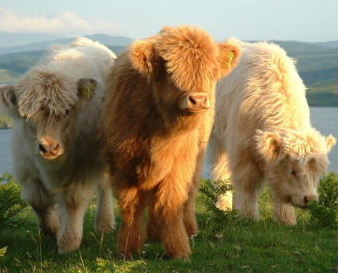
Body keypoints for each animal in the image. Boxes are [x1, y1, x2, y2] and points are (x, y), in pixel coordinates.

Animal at [0, 37, 116, 252]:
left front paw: (68, 242)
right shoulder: (27, 168)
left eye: (67, 111)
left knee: (104, 186)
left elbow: (72, 201)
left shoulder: (82, 169)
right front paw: (52, 229)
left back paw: (104, 224)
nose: (49, 147)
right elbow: (38, 200)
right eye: (26, 116)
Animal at [99, 26, 242, 258]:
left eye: (211, 70)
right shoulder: (122, 166)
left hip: (197, 157)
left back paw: (187, 230)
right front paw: (128, 248)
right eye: (169, 70)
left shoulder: (178, 164)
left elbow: (170, 203)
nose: (198, 100)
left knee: (188, 196)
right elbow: (131, 207)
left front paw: (179, 250)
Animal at [210, 39, 336, 223]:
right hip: (218, 138)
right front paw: (249, 217)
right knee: (220, 171)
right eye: (293, 171)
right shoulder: (242, 150)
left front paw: (286, 220)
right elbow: (247, 186)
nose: (310, 198)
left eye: (317, 172)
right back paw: (223, 207)